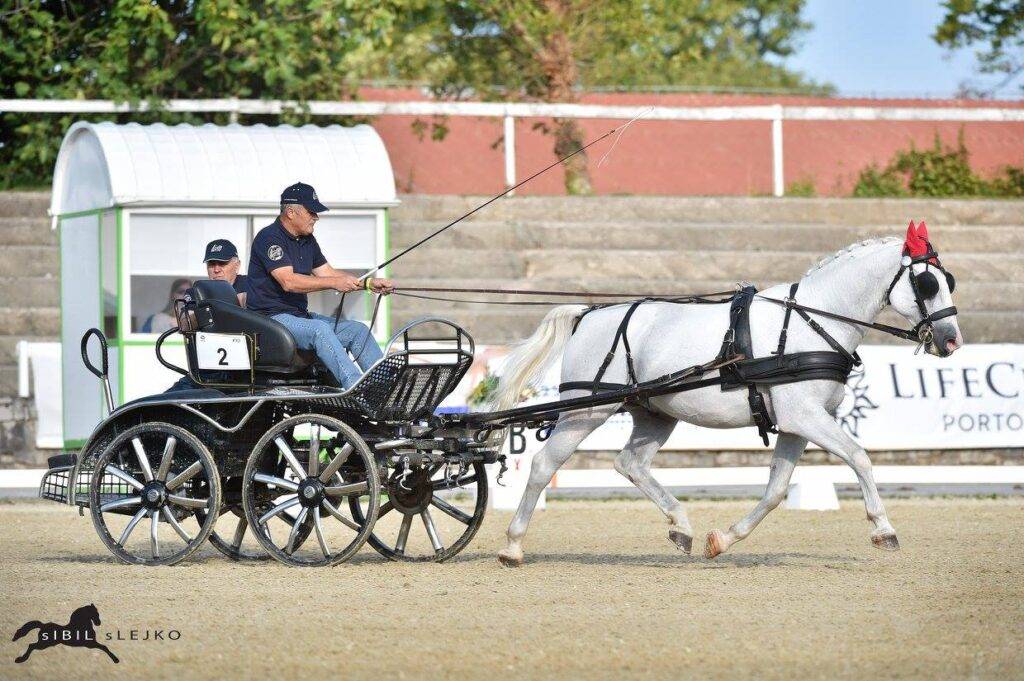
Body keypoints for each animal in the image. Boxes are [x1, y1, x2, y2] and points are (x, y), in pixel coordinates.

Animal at [491, 225, 962, 565]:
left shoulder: (797, 424)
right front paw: (883, 530)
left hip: (653, 412)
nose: (952, 340)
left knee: (631, 464)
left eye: (948, 280)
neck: (812, 320)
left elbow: (776, 490)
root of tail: (588, 314)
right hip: (586, 410)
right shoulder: (806, 417)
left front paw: (723, 539)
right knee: (544, 465)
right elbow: (860, 457)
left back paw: (681, 526)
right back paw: (512, 546)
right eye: (927, 283)